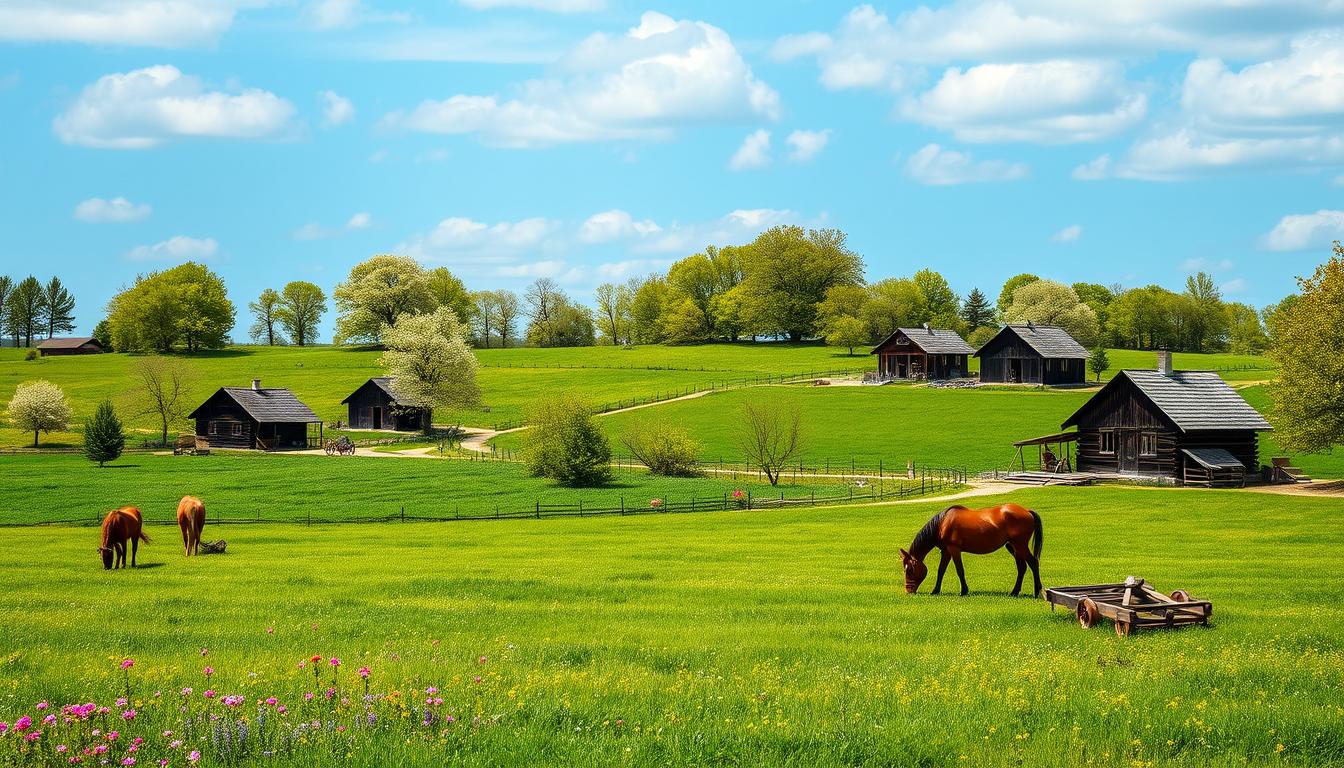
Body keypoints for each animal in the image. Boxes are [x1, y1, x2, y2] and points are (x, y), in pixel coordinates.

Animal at [897, 503, 1042, 597]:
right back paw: (1014, 592)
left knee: (1033, 563)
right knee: (1022, 567)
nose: (908, 591)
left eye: (909, 570)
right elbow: (941, 571)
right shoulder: (946, 551)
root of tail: (1027, 511)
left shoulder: (954, 549)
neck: (942, 523)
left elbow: (960, 570)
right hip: (1013, 547)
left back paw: (1037, 591)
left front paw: (964, 591)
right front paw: (935, 590)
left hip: (1020, 545)